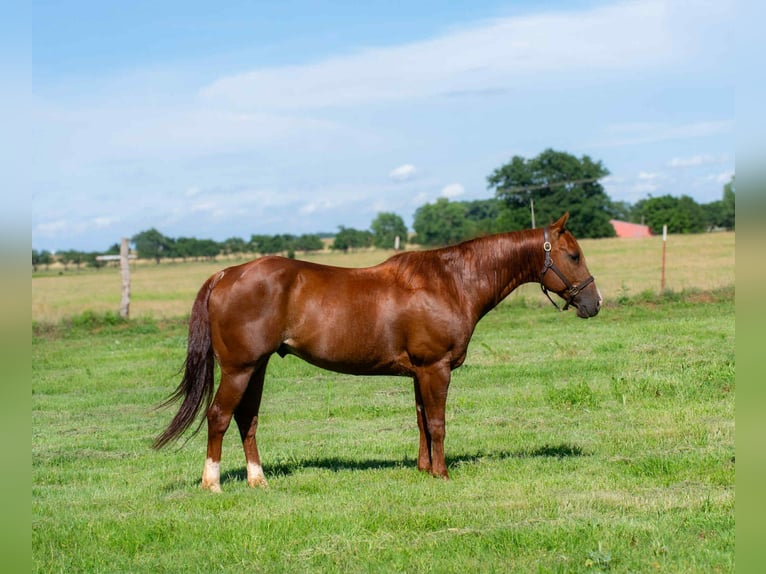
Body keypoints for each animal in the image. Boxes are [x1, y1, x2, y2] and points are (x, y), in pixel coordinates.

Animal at [153, 212, 601, 492]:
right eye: (574, 255)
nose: (593, 303)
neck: (451, 282)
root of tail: (226, 273)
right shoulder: (436, 368)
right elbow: (437, 423)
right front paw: (442, 474)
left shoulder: (420, 372)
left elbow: (421, 422)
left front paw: (424, 469)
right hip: (239, 368)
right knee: (219, 416)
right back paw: (212, 483)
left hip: (256, 368)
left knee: (247, 419)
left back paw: (258, 480)